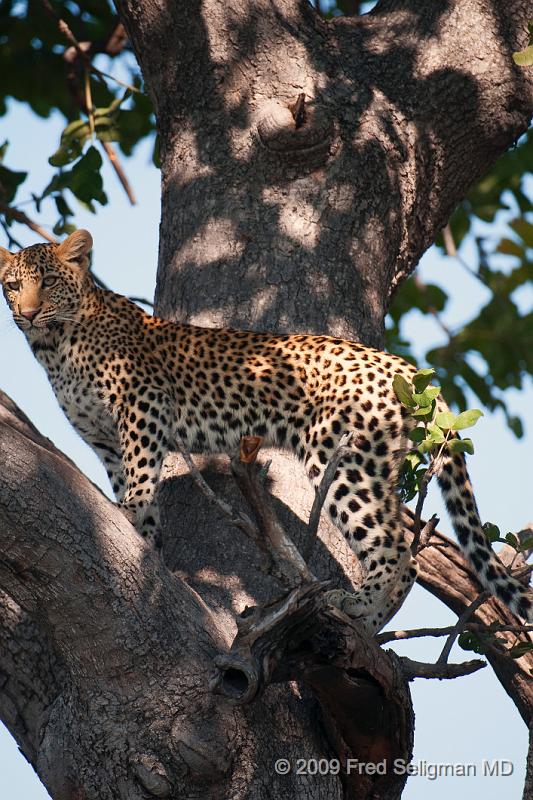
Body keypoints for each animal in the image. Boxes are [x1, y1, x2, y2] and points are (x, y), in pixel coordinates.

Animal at [0, 230, 528, 632]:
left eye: (48, 281)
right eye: (12, 285)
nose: (26, 313)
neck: (54, 346)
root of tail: (404, 366)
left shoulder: (142, 406)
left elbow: (142, 476)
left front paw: (132, 518)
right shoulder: (105, 439)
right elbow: (126, 479)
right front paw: (144, 541)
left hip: (342, 458)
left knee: (399, 549)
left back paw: (357, 606)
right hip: (375, 462)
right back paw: (368, 621)